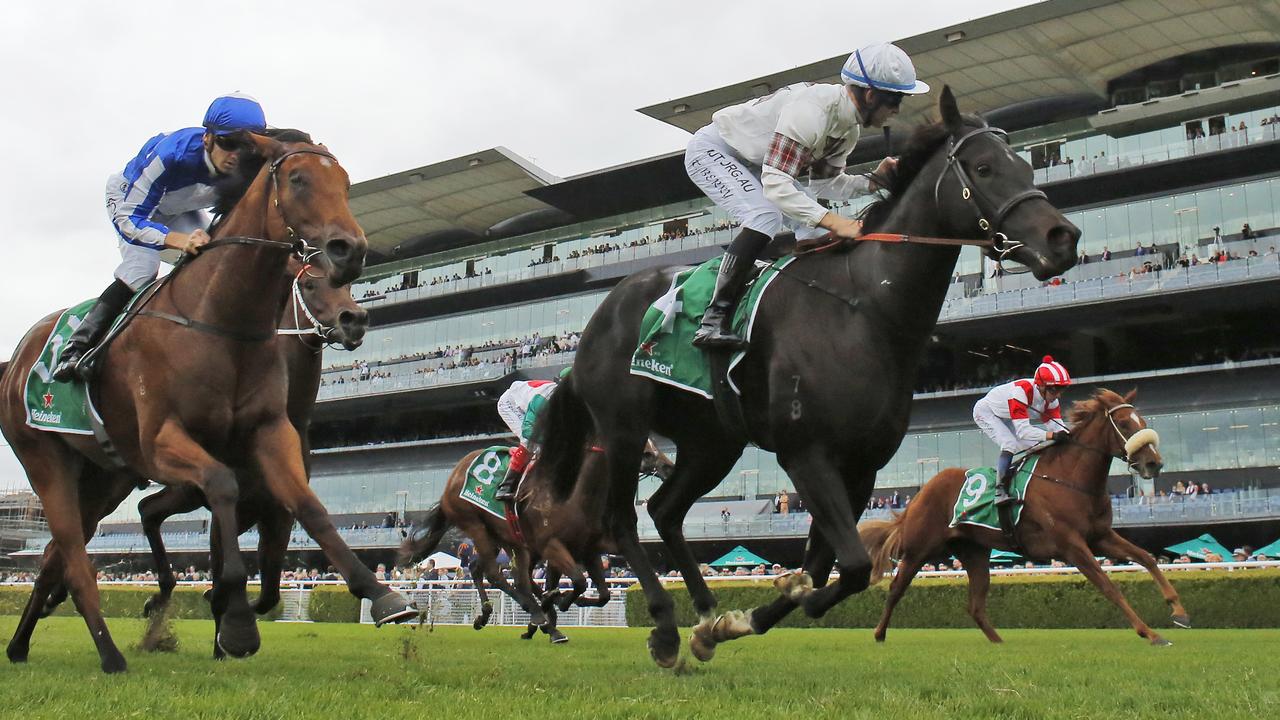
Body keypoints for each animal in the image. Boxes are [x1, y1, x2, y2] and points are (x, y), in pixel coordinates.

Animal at [0, 131, 409, 671]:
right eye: (298, 179)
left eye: (344, 183)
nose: (351, 251)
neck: (219, 319)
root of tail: (17, 358)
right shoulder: (164, 443)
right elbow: (222, 491)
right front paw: (233, 622)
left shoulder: (268, 438)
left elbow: (308, 508)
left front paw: (379, 593)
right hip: (44, 460)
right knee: (74, 556)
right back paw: (110, 653)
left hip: (102, 478)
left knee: (54, 558)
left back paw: (22, 643)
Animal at [401, 420, 675, 638]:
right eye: (640, 447)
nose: (668, 466)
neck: (577, 494)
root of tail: (456, 473)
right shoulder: (551, 545)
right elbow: (577, 581)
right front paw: (556, 603)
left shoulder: (588, 549)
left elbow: (601, 592)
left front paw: (557, 601)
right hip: (474, 524)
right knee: (496, 574)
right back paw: (538, 616)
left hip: (506, 538)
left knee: (489, 571)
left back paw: (497, 615)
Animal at [535, 87, 1085, 666]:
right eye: (983, 168)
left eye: (1027, 164)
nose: (1062, 237)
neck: (865, 309)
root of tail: (599, 317)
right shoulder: (806, 452)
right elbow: (851, 565)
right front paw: (787, 598)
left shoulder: (861, 466)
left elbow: (832, 567)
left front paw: (749, 617)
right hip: (624, 426)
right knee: (621, 519)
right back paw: (664, 626)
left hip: (713, 441)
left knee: (664, 510)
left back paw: (705, 614)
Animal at [865, 386, 1182, 645]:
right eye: (1126, 424)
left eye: (1143, 423)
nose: (1154, 463)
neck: (1069, 479)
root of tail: (921, 492)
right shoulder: (1072, 545)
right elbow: (1108, 585)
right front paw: (1150, 633)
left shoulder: (1100, 536)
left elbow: (1146, 558)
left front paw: (1178, 610)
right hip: (919, 549)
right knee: (895, 588)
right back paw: (879, 634)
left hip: (974, 552)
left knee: (975, 605)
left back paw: (999, 642)